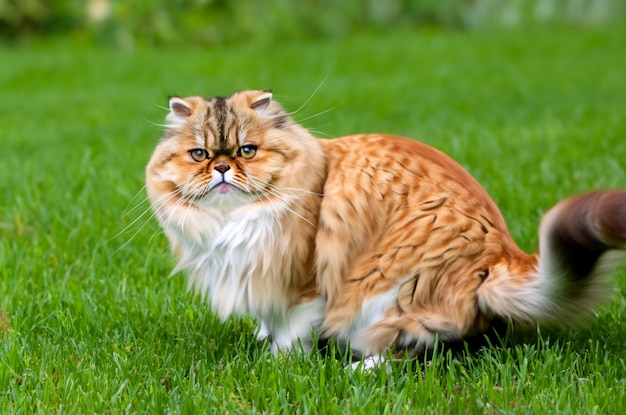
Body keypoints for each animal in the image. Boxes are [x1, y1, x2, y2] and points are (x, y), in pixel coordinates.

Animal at [146, 90, 624, 360]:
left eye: (247, 150)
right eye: (199, 155)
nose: (222, 168)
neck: (231, 222)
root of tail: (503, 255)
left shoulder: (305, 285)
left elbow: (292, 335)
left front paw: (275, 364)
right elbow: (268, 320)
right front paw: (262, 341)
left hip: (388, 294)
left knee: (411, 357)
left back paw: (355, 370)